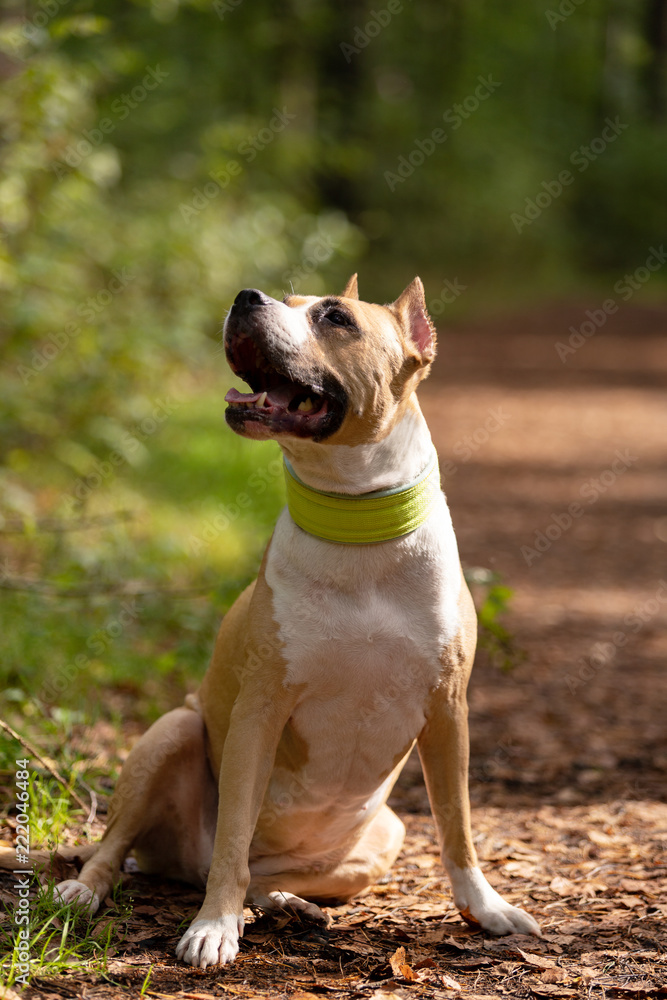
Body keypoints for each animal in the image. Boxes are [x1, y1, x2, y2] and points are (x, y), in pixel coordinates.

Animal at [52, 276, 544, 968]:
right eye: (285, 299)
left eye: (335, 317)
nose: (245, 297)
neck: (357, 528)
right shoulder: (260, 712)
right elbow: (233, 833)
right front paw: (212, 928)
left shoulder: (448, 712)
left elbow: (459, 826)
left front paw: (486, 908)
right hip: (171, 734)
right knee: (127, 850)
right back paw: (92, 892)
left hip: (383, 834)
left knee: (265, 877)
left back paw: (288, 905)